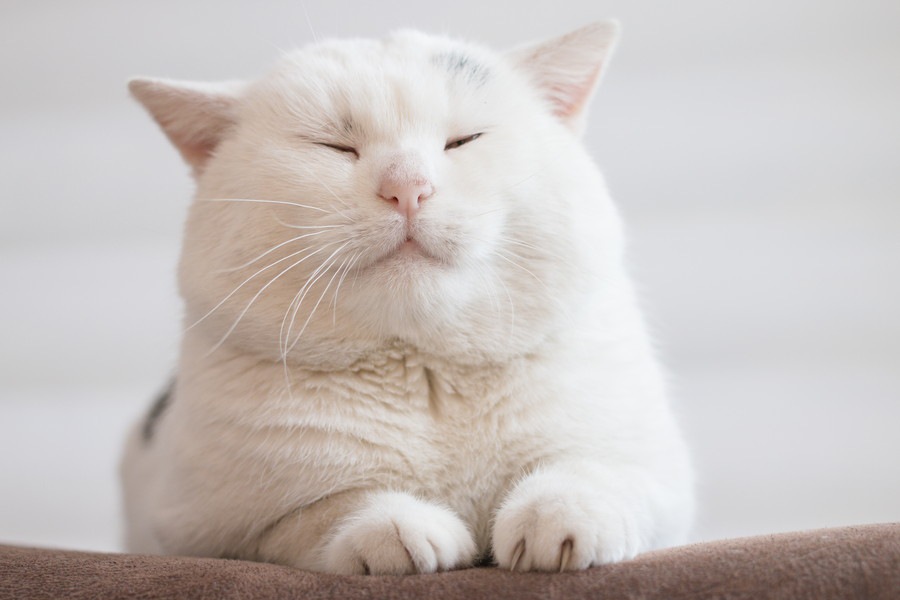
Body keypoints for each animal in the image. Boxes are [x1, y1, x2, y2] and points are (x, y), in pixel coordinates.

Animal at [121, 21, 696, 576]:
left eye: (463, 140)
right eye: (334, 146)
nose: (407, 188)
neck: (428, 376)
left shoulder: (661, 478)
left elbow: (593, 471)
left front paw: (558, 516)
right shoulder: (201, 531)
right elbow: (320, 513)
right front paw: (397, 529)